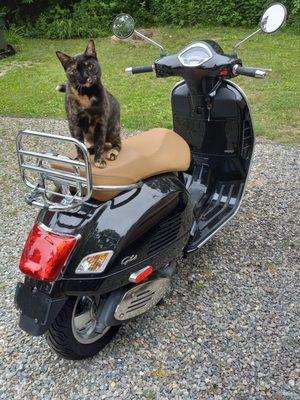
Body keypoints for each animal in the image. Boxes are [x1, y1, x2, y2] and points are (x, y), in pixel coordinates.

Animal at [55, 39, 121, 167]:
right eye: (74, 70)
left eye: (90, 66)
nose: (85, 76)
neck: (87, 95)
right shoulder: (74, 124)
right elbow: (78, 144)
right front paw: (81, 160)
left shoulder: (101, 122)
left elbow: (100, 143)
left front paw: (99, 160)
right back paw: (90, 150)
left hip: (113, 130)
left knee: (118, 144)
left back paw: (112, 152)